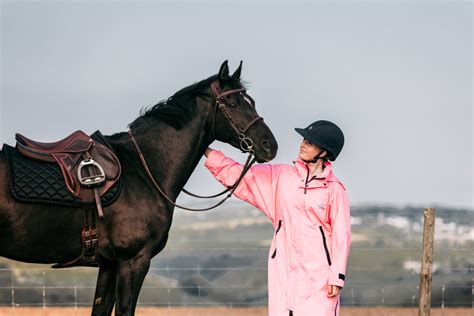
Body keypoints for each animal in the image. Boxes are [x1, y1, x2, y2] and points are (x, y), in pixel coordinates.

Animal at [0, 60, 278, 314]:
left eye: (250, 102)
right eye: (233, 104)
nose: (269, 145)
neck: (143, 169)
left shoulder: (109, 265)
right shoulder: (133, 261)